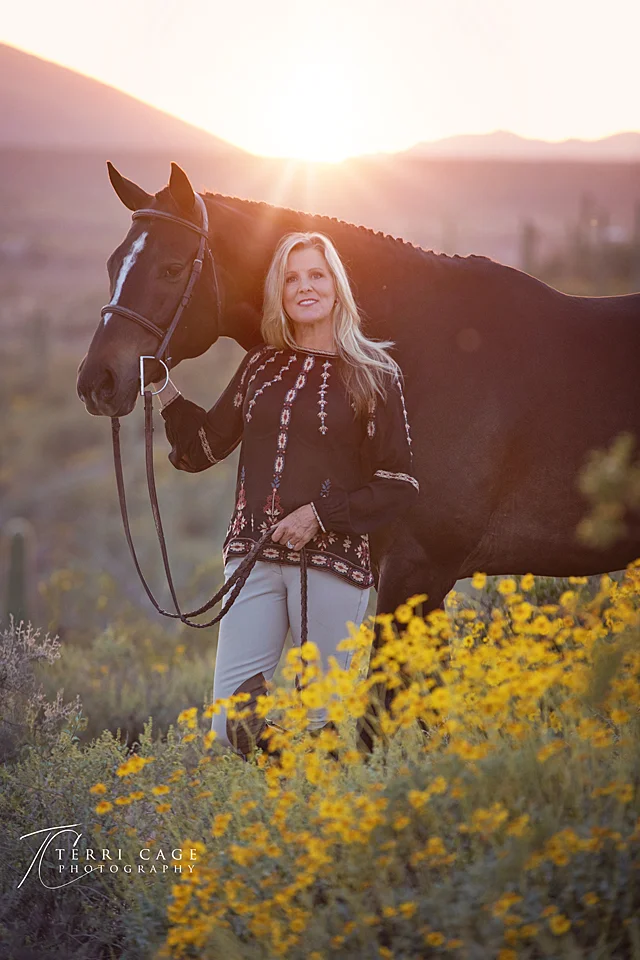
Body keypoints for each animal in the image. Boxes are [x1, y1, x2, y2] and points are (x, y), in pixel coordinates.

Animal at [77, 162, 640, 746]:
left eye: (170, 268)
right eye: (114, 264)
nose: (98, 382)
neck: (430, 347)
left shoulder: (417, 570)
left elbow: (376, 723)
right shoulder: (422, 582)